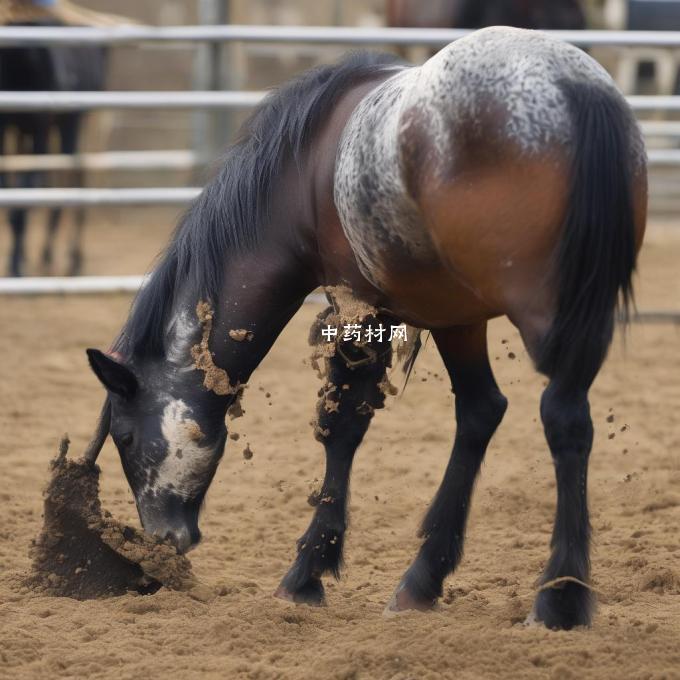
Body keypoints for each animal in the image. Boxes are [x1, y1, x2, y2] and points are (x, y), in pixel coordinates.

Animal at [0, 19, 106, 278]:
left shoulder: (41, 128)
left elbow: (26, 195)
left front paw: (16, 266)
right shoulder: (7, 128)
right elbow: (12, 197)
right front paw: (16, 260)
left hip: (72, 122)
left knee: (74, 175)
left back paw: (70, 258)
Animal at [85, 26, 648, 632]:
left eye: (124, 436)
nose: (162, 538)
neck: (302, 171)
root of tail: (573, 86)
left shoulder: (357, 305)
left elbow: (344, 425)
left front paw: (306, 572)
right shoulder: (457, 313)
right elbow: (479, 412)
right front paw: (423, 578)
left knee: (563, 419)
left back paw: (558, 598)